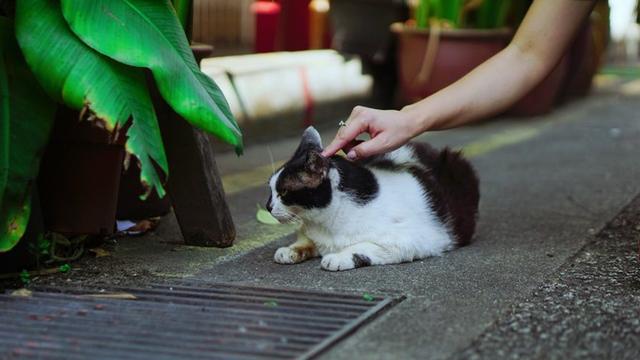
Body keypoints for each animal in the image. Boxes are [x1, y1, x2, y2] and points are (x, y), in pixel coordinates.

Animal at [264, 126, 480, 270]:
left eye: (284, 192)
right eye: (270, 189)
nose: (268, 206)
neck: (327, 223)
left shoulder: (417, 238)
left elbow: (363, 246)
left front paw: (338, 258)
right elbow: (306, 240)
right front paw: (290, 250)